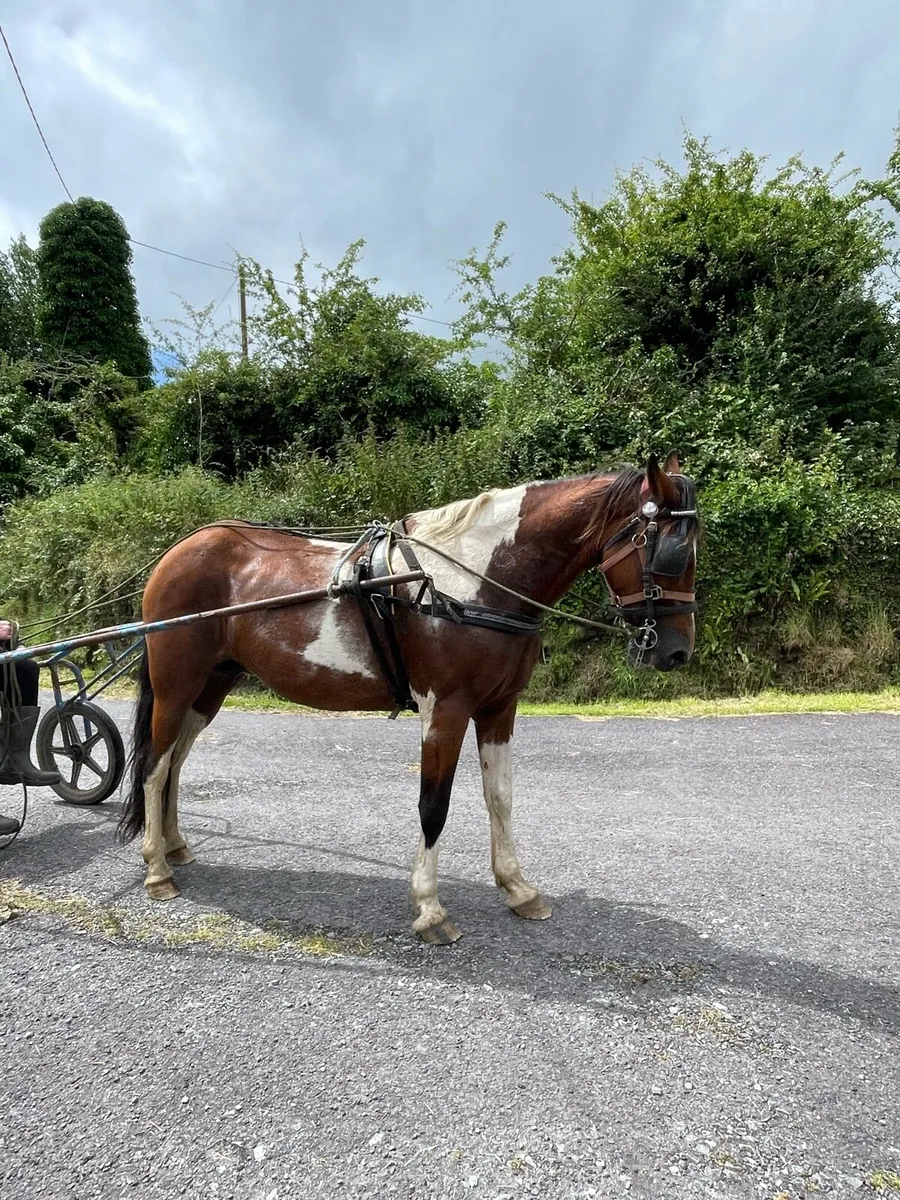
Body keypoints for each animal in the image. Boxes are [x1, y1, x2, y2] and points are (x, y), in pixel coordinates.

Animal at [117, 453, 699, 943]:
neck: (472, 581)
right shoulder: (445, 710)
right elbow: (433, 806)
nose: (676, 652)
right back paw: (156, 868)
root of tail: (177, 552)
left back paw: (174, 846)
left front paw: (518, 888)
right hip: (176, 686)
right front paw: (430, 910)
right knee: (153, 765)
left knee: (174, 764)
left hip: (211, 686)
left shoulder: (499, 708)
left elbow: (500, 796)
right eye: (672, 550)